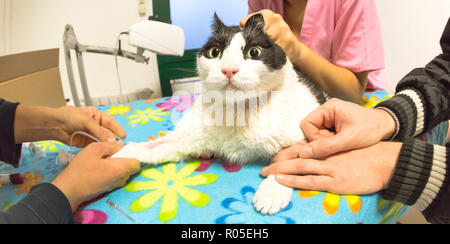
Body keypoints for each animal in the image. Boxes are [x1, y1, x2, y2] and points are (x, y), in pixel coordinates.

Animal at [112, 13, 326, 215]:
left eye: (254, 52)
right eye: (215, 52)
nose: (229, 69)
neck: (237, 112)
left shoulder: (306, 134)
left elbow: (291, 162)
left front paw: (271, 194)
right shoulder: (188, 136)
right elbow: (156, 146)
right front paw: (120, 154)